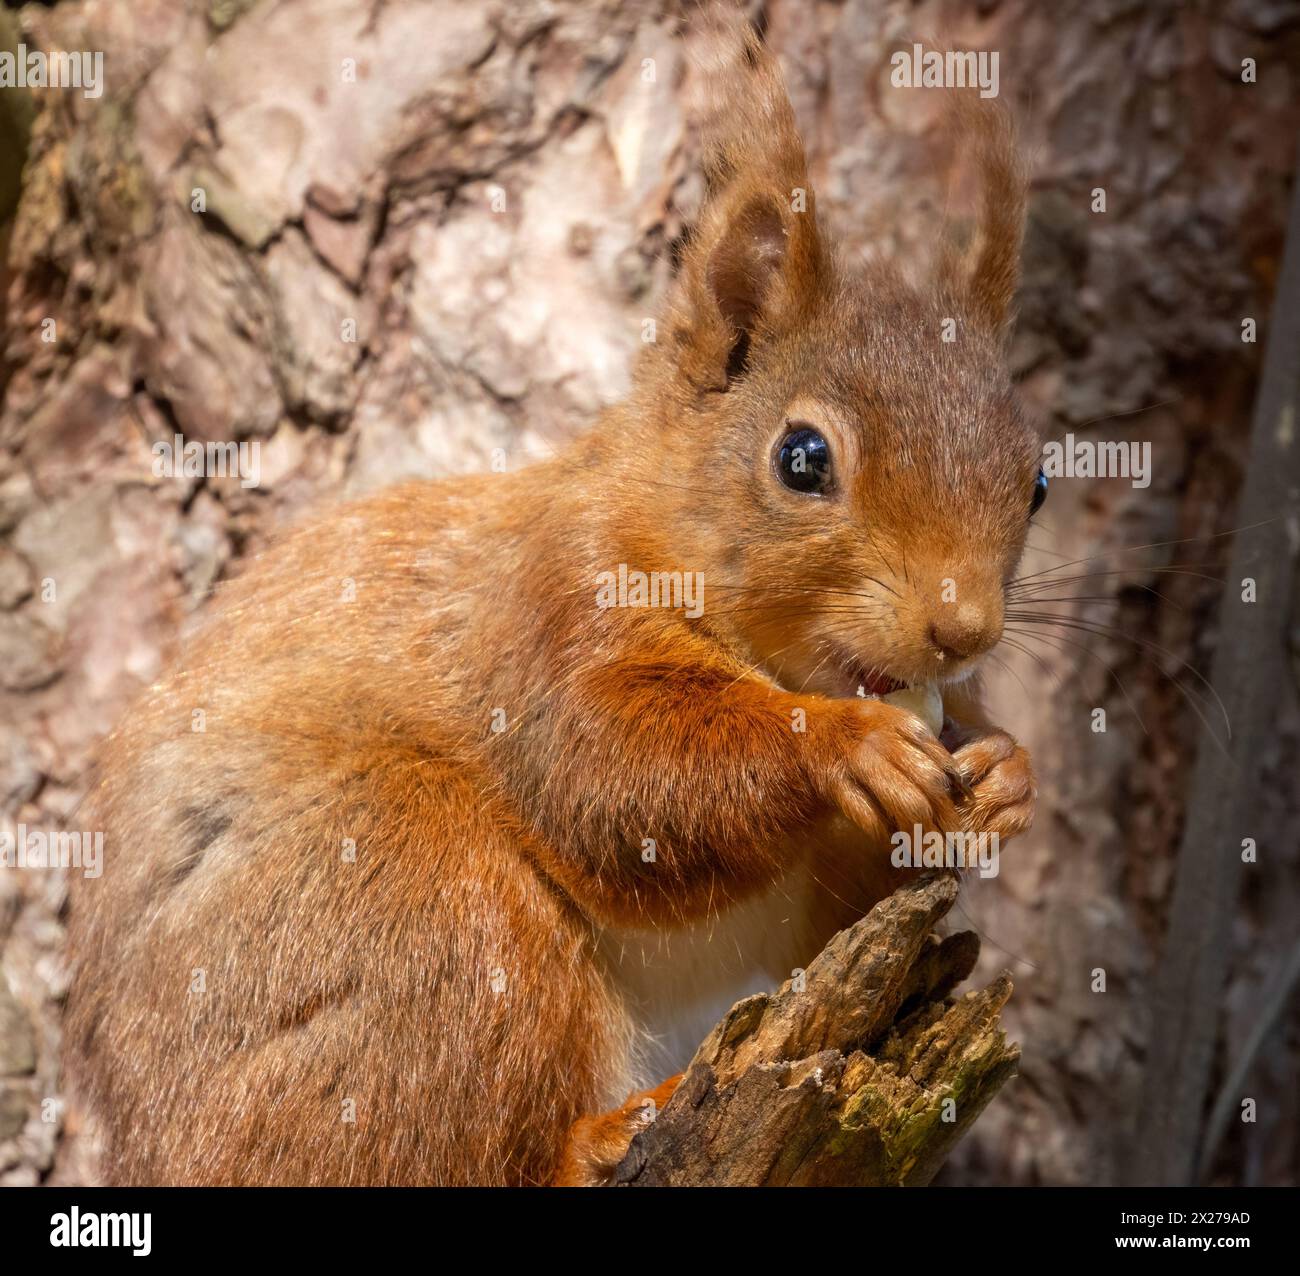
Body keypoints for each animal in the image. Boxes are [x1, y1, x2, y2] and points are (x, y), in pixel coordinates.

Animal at [64, 15, 1038, 1187]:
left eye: (1039, 481)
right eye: (802, 459)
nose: (962, 629)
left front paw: (1002, 776)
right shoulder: (546, 608)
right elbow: (605, 767)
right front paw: (842, 743)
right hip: (411, 895)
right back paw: (606, 1131)